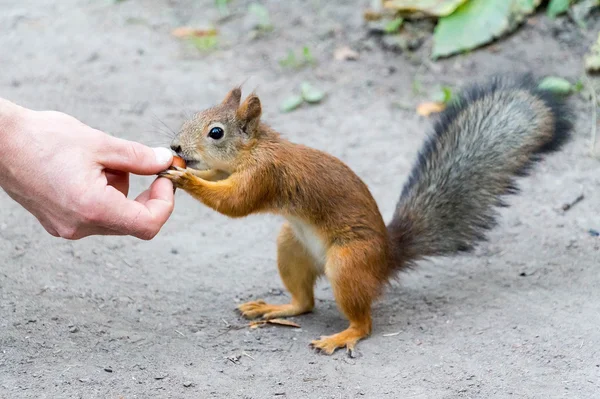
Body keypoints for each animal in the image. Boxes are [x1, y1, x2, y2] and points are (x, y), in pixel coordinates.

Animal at [159, 75, 572, 356]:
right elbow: (219, 181)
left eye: (215, 132)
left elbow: (235, 203)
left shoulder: (265, 176)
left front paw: (184, 177)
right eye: (195, 115)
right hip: (292, 246)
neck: (257, 148)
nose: (175, 147)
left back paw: (343, 337)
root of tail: (387, 257)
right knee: (305, 302)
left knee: (365, 322)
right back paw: (275, 307)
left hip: (348, 263)